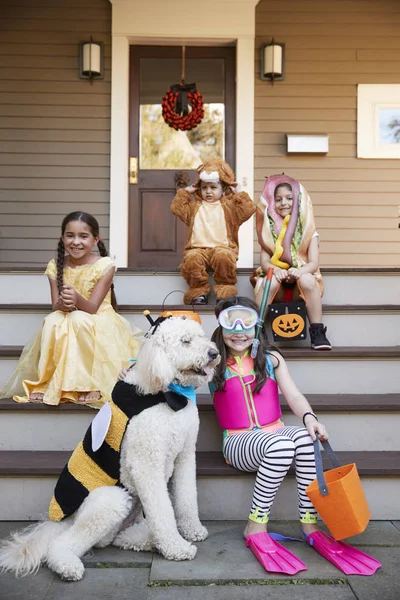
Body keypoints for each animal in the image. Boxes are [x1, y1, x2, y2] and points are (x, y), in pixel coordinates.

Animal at [0, 316, 219, 580]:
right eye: (185, 341)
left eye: (201, 336)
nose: (214, 353)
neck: (167, 394)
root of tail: (64, 521)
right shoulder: (146, 464)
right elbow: (163, 512)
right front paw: (175, 547)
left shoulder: (185, 455)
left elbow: (187, 498)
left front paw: (192, 530)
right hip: (111, 501)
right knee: (63, 543)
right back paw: (68, 565)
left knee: (120, 538)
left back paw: (148, 541)